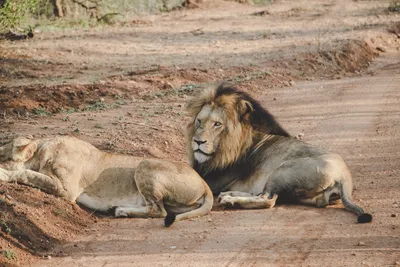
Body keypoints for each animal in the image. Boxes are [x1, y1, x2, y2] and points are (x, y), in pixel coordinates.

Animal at [0, 137, 212, 227]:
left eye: (1, 154)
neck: (43, 151)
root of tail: (204, 183)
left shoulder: (66, 190)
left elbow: (28, 174)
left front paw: (3, 174)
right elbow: (31, 173)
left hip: (144, 163)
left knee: (160, 211)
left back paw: (121, 211)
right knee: (160, 209)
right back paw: (119, 209)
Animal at [187, 84, 372, 224]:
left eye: (217, 124)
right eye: (199, 121)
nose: (198, 141)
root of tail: (344, 175)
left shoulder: (215, 179)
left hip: (282, 171)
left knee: (268, 199)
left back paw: (230, 200)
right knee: (264, 195)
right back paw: (229, 195)